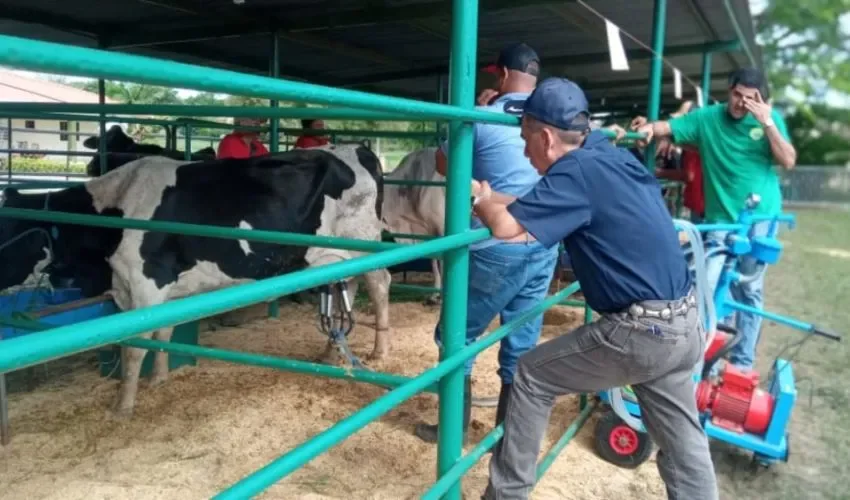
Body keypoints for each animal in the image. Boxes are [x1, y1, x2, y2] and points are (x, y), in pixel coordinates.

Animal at [0, 145, 390, 418]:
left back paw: (380, 350)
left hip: (366, 245)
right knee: (346, 289)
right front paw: (159, 380)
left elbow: (134, 348)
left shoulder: (147, 285)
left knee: (380, 285)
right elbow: (164, 335)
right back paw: (330, 350)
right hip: (337, 257)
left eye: (7, 232)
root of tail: (358, 149)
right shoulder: (147, 291)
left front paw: (123, 406)